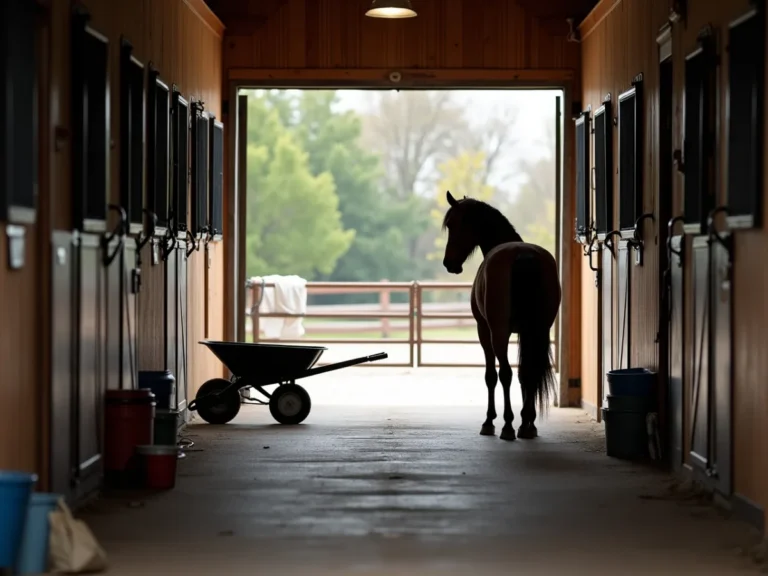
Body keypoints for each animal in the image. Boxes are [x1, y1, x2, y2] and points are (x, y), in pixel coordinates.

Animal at [441, 191, 562, 441]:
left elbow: (491, 375)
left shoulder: (484, 331)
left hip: (499, 332)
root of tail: (523, 255)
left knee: (505, 373)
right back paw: (527, 425)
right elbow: (526, 373)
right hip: (538, 330)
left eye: (453, 224)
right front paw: (527, 421)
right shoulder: (526, 333)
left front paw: (490, 421)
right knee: (529, 371)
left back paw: (507, 425)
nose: (449, 263)